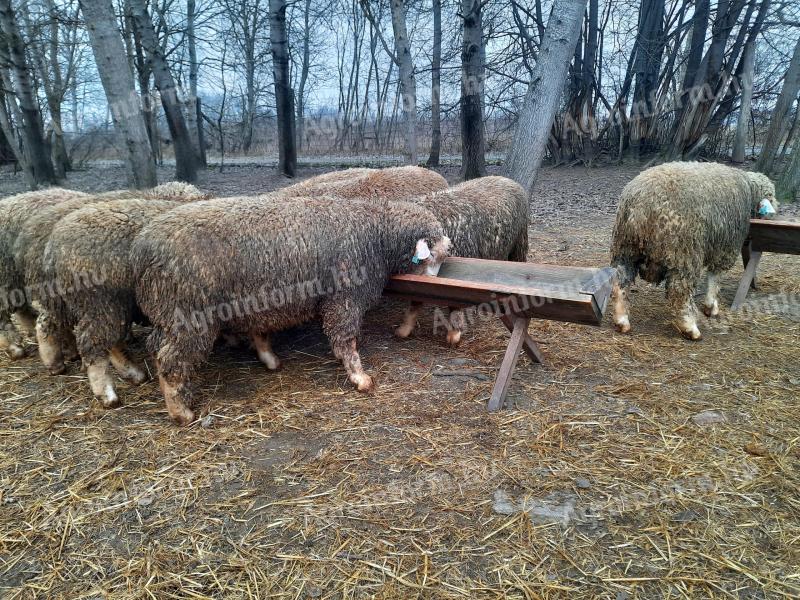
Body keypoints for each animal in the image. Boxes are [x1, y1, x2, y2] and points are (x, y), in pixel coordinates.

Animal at [38, 184, 209, 408]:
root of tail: (54, 247)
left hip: (65, 299)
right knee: (94, 345)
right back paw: (108, 393)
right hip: (102, 303)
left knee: (46, 322)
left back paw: (56, 363)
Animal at [131, 195, 450, 424]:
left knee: (156, 348)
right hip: (188, 315)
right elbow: (346, 341)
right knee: (170, 361)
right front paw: (359, 377)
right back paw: (180, 412)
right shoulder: (343, 298)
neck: (376, 236)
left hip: (169, 315)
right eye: (433, 255)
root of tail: (141, 251)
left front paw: (268, 357)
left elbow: (261, 330)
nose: (438, 285)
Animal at [608, 162, 780, 340]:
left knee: (620, 282)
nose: (776, 209)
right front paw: (711, 306)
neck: (748, 190)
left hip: (625, 248)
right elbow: (715, 276)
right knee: (680, 290)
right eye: (771, 196)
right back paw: (690, 327)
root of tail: (641, 205)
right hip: (683, 251)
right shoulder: (725, 246)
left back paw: (621, 321)